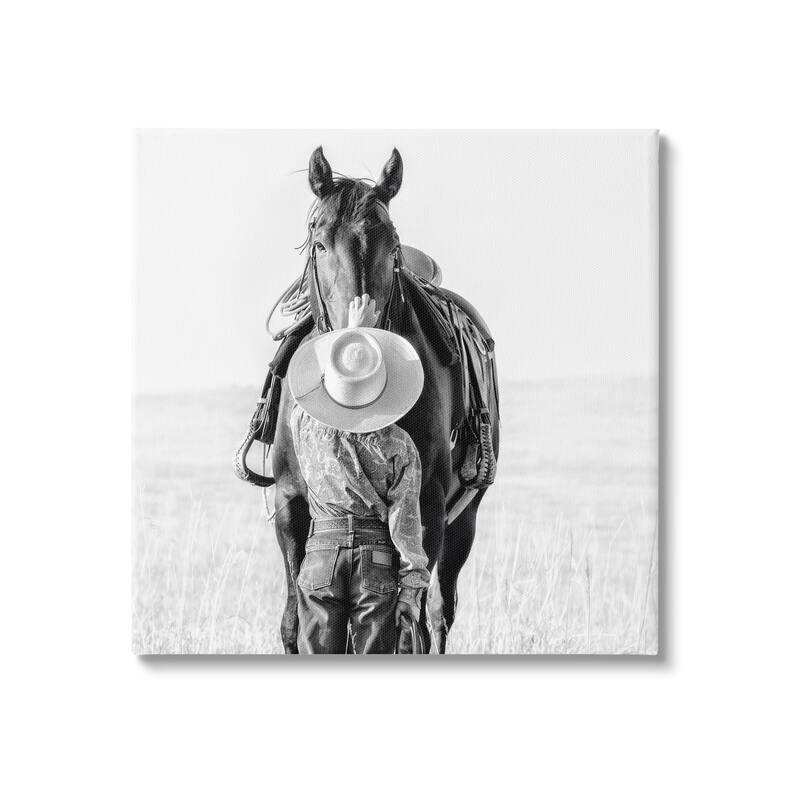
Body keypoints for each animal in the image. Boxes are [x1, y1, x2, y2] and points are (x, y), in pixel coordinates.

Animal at [271, 146, 500, 653]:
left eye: (392, 247)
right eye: (319, 244)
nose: (358, 350)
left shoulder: (427, 507)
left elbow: (409, 624)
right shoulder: (289, 501)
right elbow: (294, 623)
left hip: (464, 520)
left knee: (437, 616)